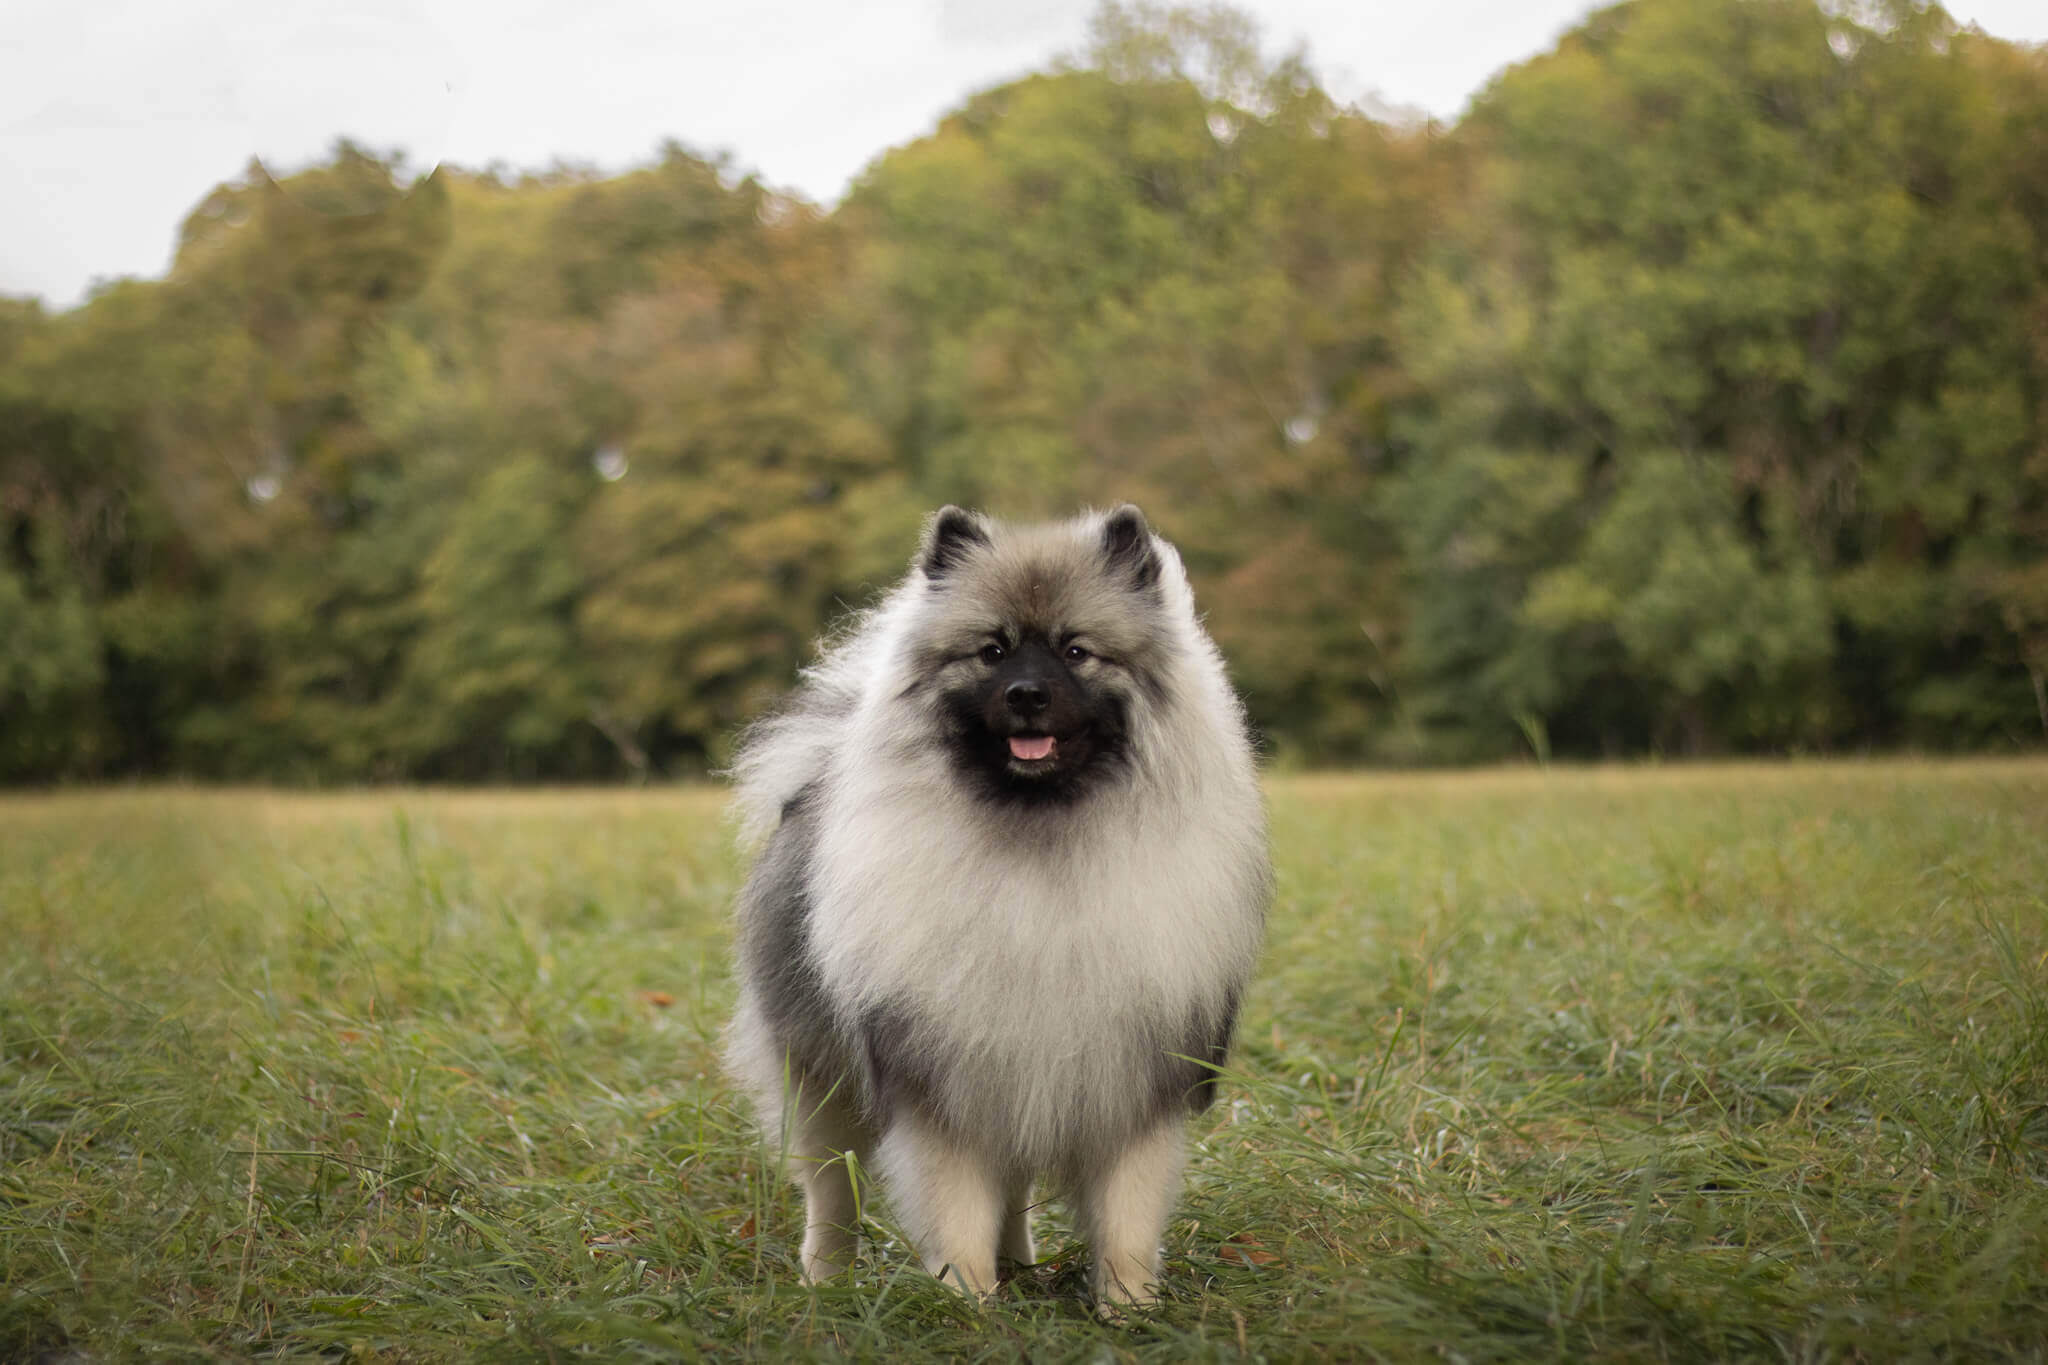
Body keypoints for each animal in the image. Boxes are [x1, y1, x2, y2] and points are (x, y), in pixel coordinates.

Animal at [720, 505, 1261, 1309]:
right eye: (992, 651)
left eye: (1076, 650)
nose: (1026, 695)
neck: (1040, 844)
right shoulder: (943, 1088)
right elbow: (956, 1208)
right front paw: (968, 1302)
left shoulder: (1130, 1084)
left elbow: (1126, 1214)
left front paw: (1128, 1307)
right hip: (825, 1078)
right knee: (832, 1189)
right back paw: (827, 1277)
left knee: (1013, 1188)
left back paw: (1022, 1264)